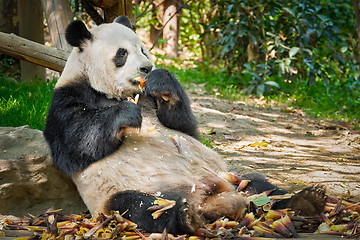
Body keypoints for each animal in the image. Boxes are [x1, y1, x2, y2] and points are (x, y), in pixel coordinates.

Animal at [43, 15, 326, 234]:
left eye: (142, 49)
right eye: (121, 54)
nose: (146, 68)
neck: (113, 92)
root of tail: (212, 199)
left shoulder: (151, 100)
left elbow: (185, 128)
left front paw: (161, 82)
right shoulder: (66, 98)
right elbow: (74, 144)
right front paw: (126, 114)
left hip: (230, 176)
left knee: (261, 185)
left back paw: (305, 200)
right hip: (122, 196)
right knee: (140, 207)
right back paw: (184, 217)